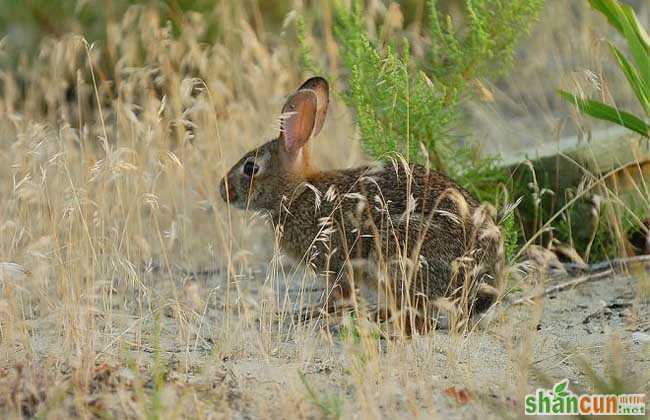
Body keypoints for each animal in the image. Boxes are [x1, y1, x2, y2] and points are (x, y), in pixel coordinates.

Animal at [220, 75, 504, 332]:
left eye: (250, 168)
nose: (223, 190)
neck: (298, 192)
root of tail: (484, 280)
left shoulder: (336, 263)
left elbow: (339, 295)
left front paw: (311, 314)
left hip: (397, 253)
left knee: (420, 319)